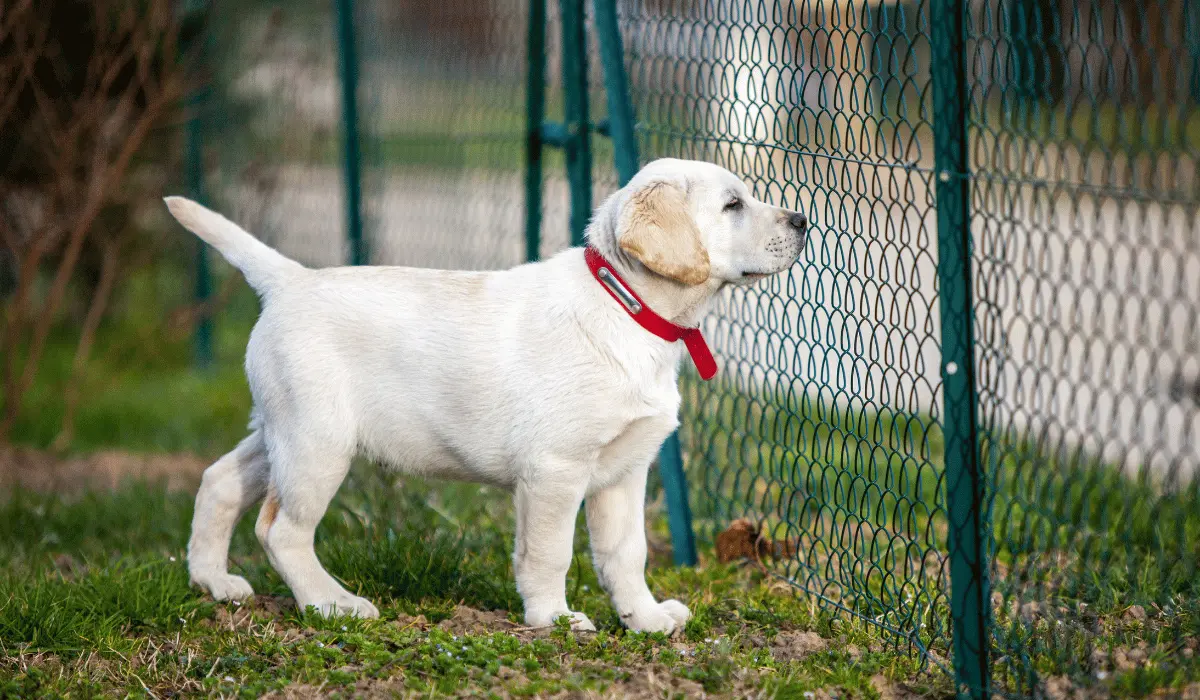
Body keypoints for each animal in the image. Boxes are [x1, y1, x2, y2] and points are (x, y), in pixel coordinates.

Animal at [164, 158, 806, 633]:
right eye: (732, 205)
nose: (803, 220)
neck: (627, 307)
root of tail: (291, 280)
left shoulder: (624, 472)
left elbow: (626, 555)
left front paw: (644, 619)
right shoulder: (554, 471)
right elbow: (549, 553)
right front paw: (553, 619)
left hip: (281, 432)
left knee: (219, 481)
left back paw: (214, 583)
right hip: (317, 445)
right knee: (282, 531)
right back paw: (333, 605)